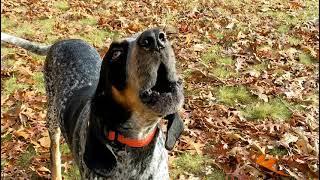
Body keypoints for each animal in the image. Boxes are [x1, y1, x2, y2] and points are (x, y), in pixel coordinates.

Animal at [1, 27, 185, 179]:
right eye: (116, 53)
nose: (155, 37)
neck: (136, 143)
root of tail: (61, 41)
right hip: (52, 118)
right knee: (54, 151)